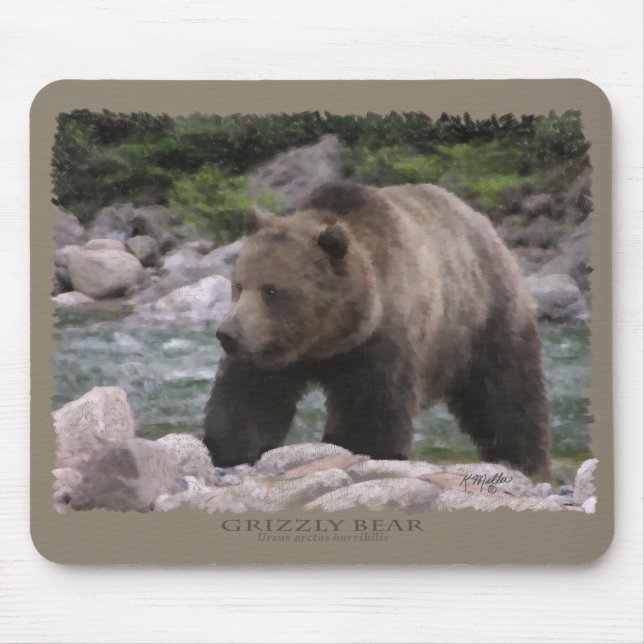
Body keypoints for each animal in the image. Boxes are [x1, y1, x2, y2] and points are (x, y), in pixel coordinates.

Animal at [204, 181, 551, 477]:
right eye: (239, 284)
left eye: (271, 290)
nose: (227, 334)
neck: (328, 339)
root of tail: (486, 226)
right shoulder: (271, 351)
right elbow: (249, 396)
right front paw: (229, 449)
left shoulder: (381, 342)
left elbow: (370, 404)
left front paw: (363, 448)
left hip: (486, 318)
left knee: (506, 395)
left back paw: (524, 460)